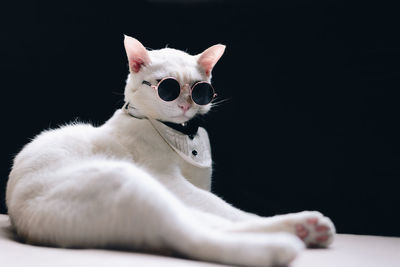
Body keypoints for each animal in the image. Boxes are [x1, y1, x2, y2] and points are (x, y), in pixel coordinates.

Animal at [6, 35, 334, 267]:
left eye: (200, 89)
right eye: (168, 88)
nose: (186, 104)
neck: (181, 133)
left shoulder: (197, 187)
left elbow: (224, 212)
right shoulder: (172, 182)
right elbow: (225, 209)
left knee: (208, 223)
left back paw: (305, 228)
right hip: (127, 181)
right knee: (195, 234)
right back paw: (279, 246)